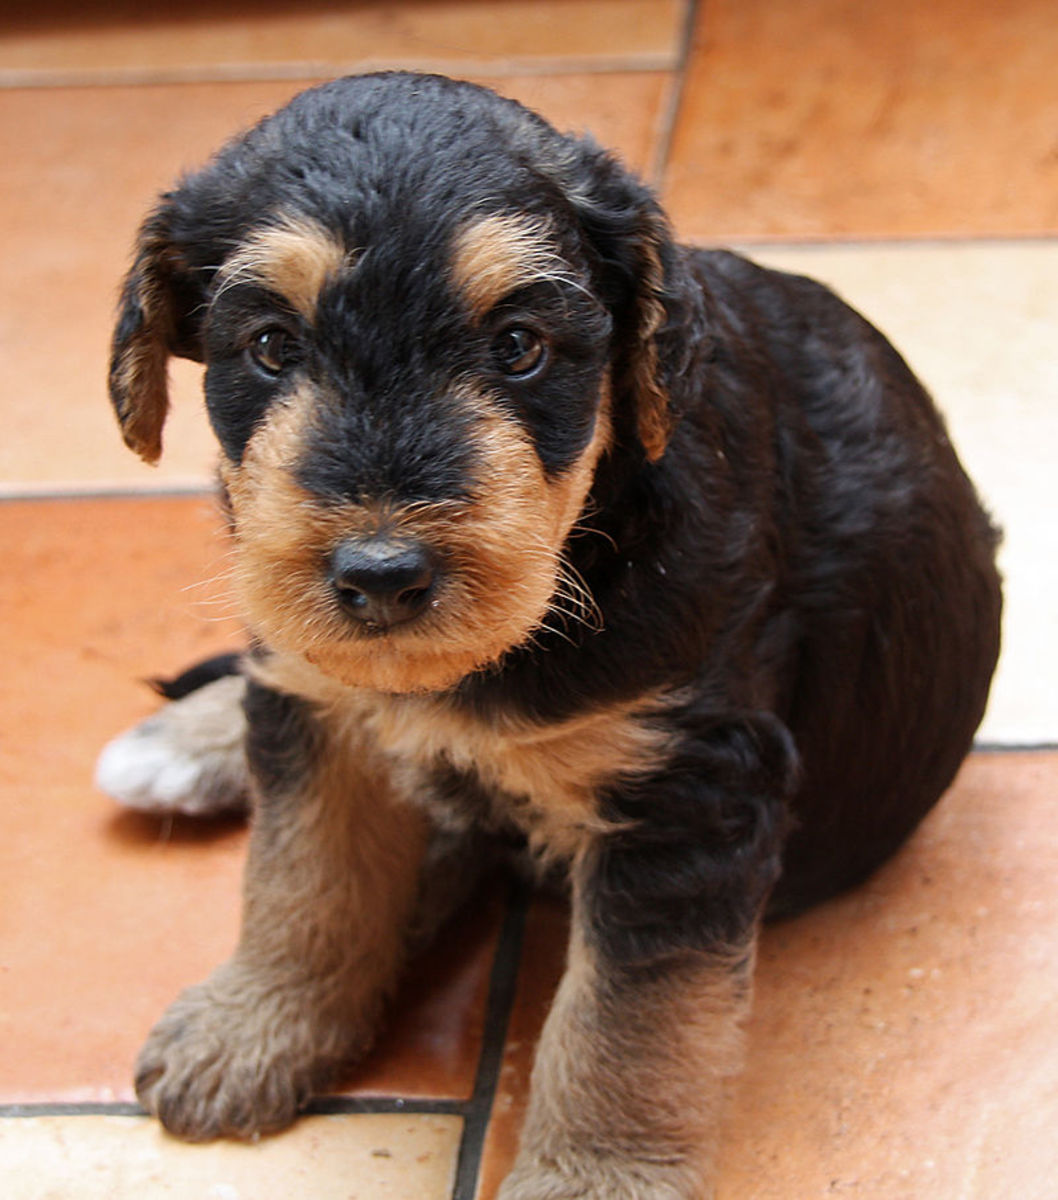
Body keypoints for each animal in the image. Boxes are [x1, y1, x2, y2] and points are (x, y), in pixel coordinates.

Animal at [98, 70, 998, 1195]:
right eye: (270, 347)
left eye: (519, 347)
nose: (381, 575)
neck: (594, 543)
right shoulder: (322, 724)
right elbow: (304, 876)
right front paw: (252, 1026)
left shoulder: (686, 791)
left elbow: (627, 1024)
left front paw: (596, 1174)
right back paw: (188, 742)